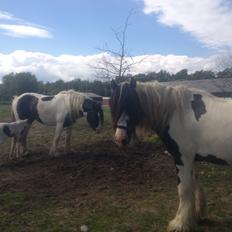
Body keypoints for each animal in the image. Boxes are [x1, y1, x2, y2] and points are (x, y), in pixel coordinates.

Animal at [109, 78, 231, 232]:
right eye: (114, 104)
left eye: (132, 104)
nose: (120, 139)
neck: (178, 113)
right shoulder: (191, 159)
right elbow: (194, 185)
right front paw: (197, 216)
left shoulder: (182, 158)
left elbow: (184, 189)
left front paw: (180, 224)